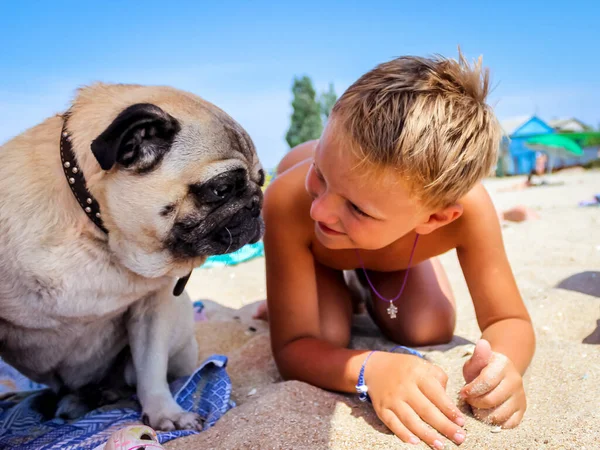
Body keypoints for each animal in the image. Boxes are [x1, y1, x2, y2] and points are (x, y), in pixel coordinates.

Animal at [0, 82, 264, 430]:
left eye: (261, 180)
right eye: (221, 189)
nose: (257, 202)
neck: (99, 232)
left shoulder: (153, 309)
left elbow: (150, 369)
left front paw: (165, 413)